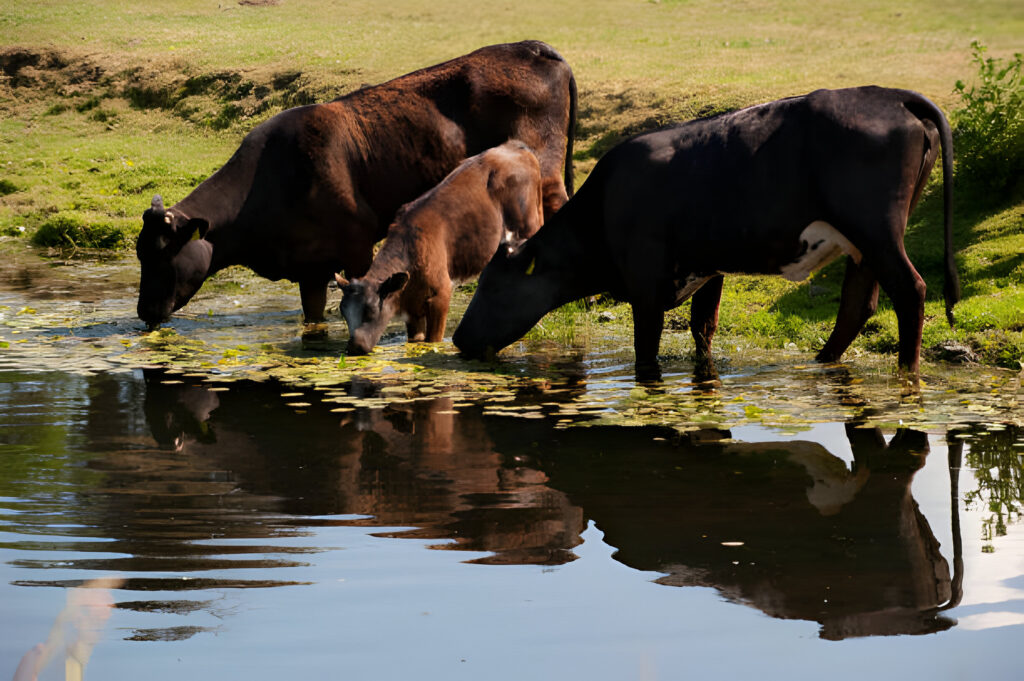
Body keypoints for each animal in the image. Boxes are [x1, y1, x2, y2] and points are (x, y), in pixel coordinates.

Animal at [335, 139, 544, 356]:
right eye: (343, 312)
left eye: (370, 309)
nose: (354, 347)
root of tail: (515, 146)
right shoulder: (412, 310)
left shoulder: (441, 295)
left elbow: (433, 340)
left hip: (528, 225)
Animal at [456, 84, 958, 376]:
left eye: (493, 287)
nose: (459, 338)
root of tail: (890, 96)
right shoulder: (708, 271)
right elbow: (703, 330)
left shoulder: (645, 285)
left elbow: (647, 349)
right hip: (863, 244)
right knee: (858, 303)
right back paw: (822, 363)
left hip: (877, 232)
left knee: (910, 290)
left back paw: (907, 373)